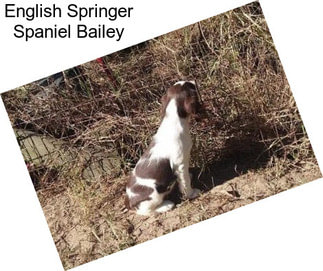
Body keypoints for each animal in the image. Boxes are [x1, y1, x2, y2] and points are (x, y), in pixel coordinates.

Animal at [125, 79, 201, 216]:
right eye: (190, 85)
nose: (194, 80)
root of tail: (128, 201)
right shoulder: (180, 164)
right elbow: (185, 182)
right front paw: (191, 193)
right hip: (154, 192)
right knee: (146, 211)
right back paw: (166, 205)